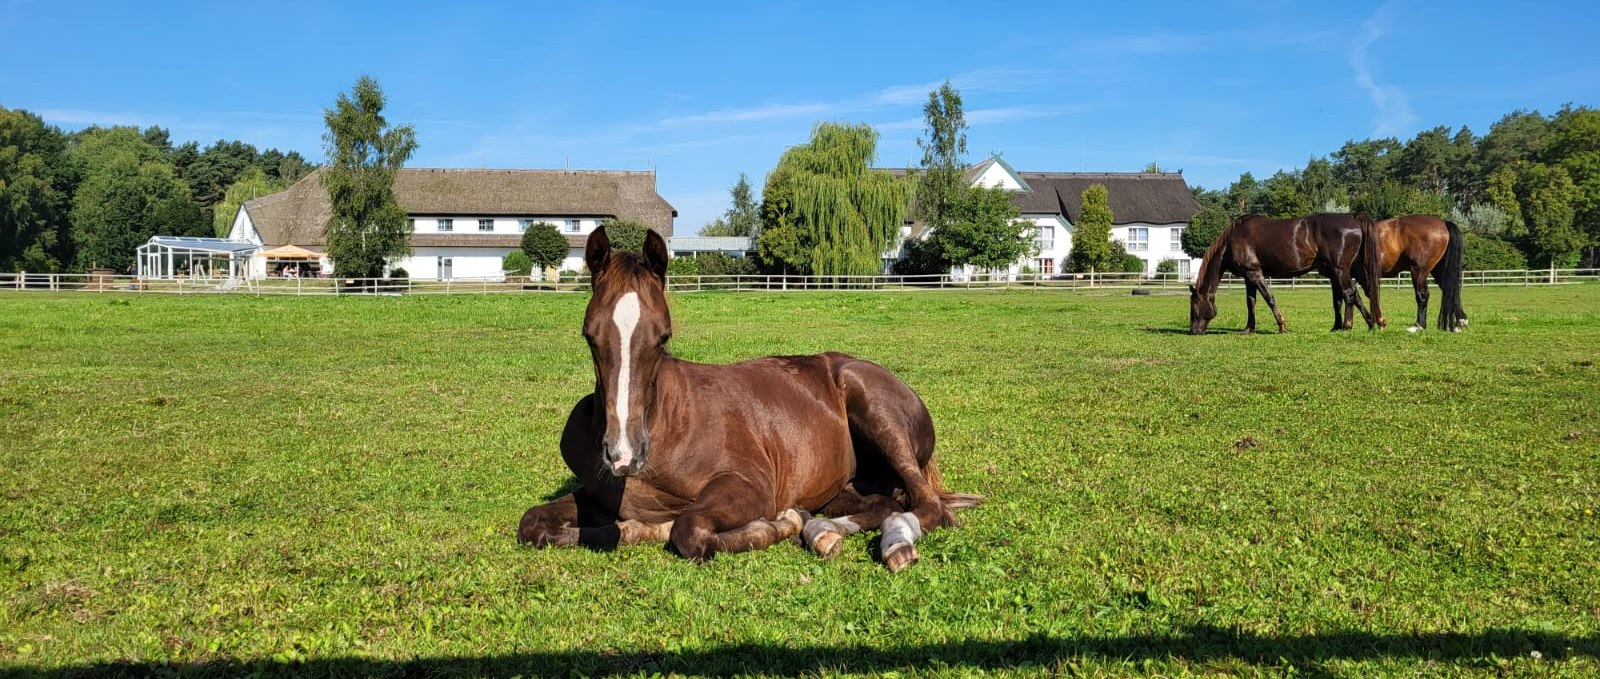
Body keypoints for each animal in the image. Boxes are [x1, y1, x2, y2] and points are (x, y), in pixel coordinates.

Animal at [518, 225, 979, 570]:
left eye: (663, 336)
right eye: (590, 336)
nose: (623, 455)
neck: (668, 424)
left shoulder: (752, 486)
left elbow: (689, 531)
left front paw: (778, 525)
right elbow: (533, 523)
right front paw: (640, 528)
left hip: (874, 408)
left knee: (926, 506)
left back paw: (890, 544)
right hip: (846, 484)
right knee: (880, 504)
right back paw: (823, 531)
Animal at [1190, 212, 1388, 336]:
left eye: (1194, 308)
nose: (1193, 331)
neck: (1232, 241)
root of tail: (1353, 217)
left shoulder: (1254, 273)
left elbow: (1269, 298)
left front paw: (1282, 325)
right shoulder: (1248, 277)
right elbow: (1250, 302)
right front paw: (1249, 328)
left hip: (1341, 270)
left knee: (1350, 294)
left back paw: (1348, 325)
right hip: (1351, 270)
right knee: (1365, 292)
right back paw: (1372, 322)